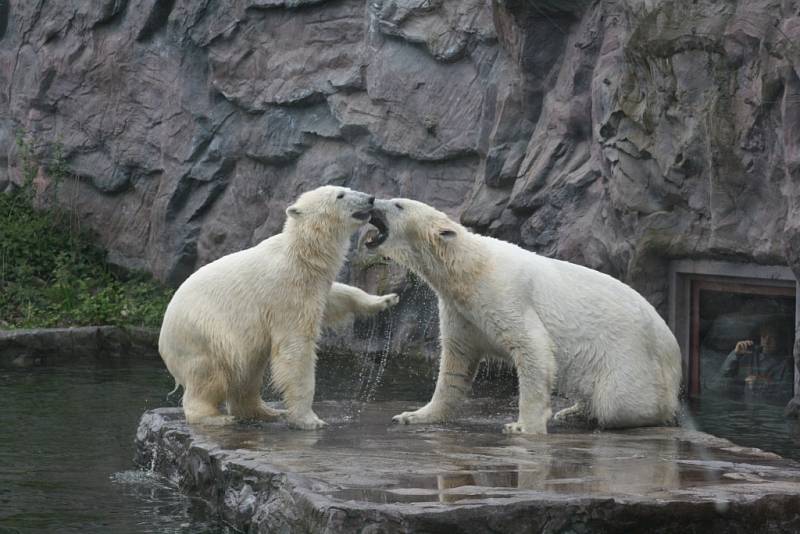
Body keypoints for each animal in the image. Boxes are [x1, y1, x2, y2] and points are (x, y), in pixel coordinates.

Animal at [159, 188, 400, 432]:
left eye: (348, 189)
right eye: (340, 195)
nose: (370, 198)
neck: (301, 254)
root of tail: (164, 341)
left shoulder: (314, 282)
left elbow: (334, 298)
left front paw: (385, 300)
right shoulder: (286, 291)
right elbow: (296, 349)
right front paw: (309, 419)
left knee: (247, 373)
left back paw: (267, 412)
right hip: (204, 337)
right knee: (211, 376)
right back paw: (216, 417)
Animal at [364, 197, 680, 436]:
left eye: (398, 204)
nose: (372, 201)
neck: (470, 269)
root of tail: (672, 348)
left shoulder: (504, 293)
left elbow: (533, 349)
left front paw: (521, 426)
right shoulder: (459, 310)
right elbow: (456, 362)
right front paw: (413, 415)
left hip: (629, 357)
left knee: (619, 403)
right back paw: (574, 411)